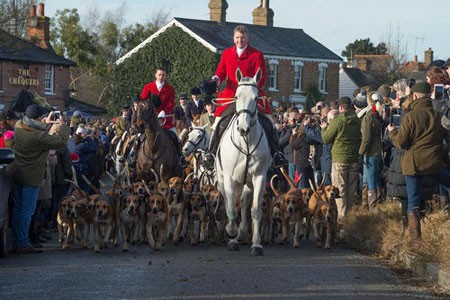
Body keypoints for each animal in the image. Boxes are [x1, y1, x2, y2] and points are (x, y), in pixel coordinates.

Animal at [214, 68, 270, 255]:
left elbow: (255, 210)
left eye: (256, 98)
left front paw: (256, 245)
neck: (246, 141)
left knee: (245, 203)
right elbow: (231, 209)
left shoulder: (259, 176)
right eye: (237, 96)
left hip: (248, 181)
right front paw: (231, 233)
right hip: (223, 180)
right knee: (228, 201)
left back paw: (243, 230)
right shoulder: (229, 178)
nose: (243, 129)